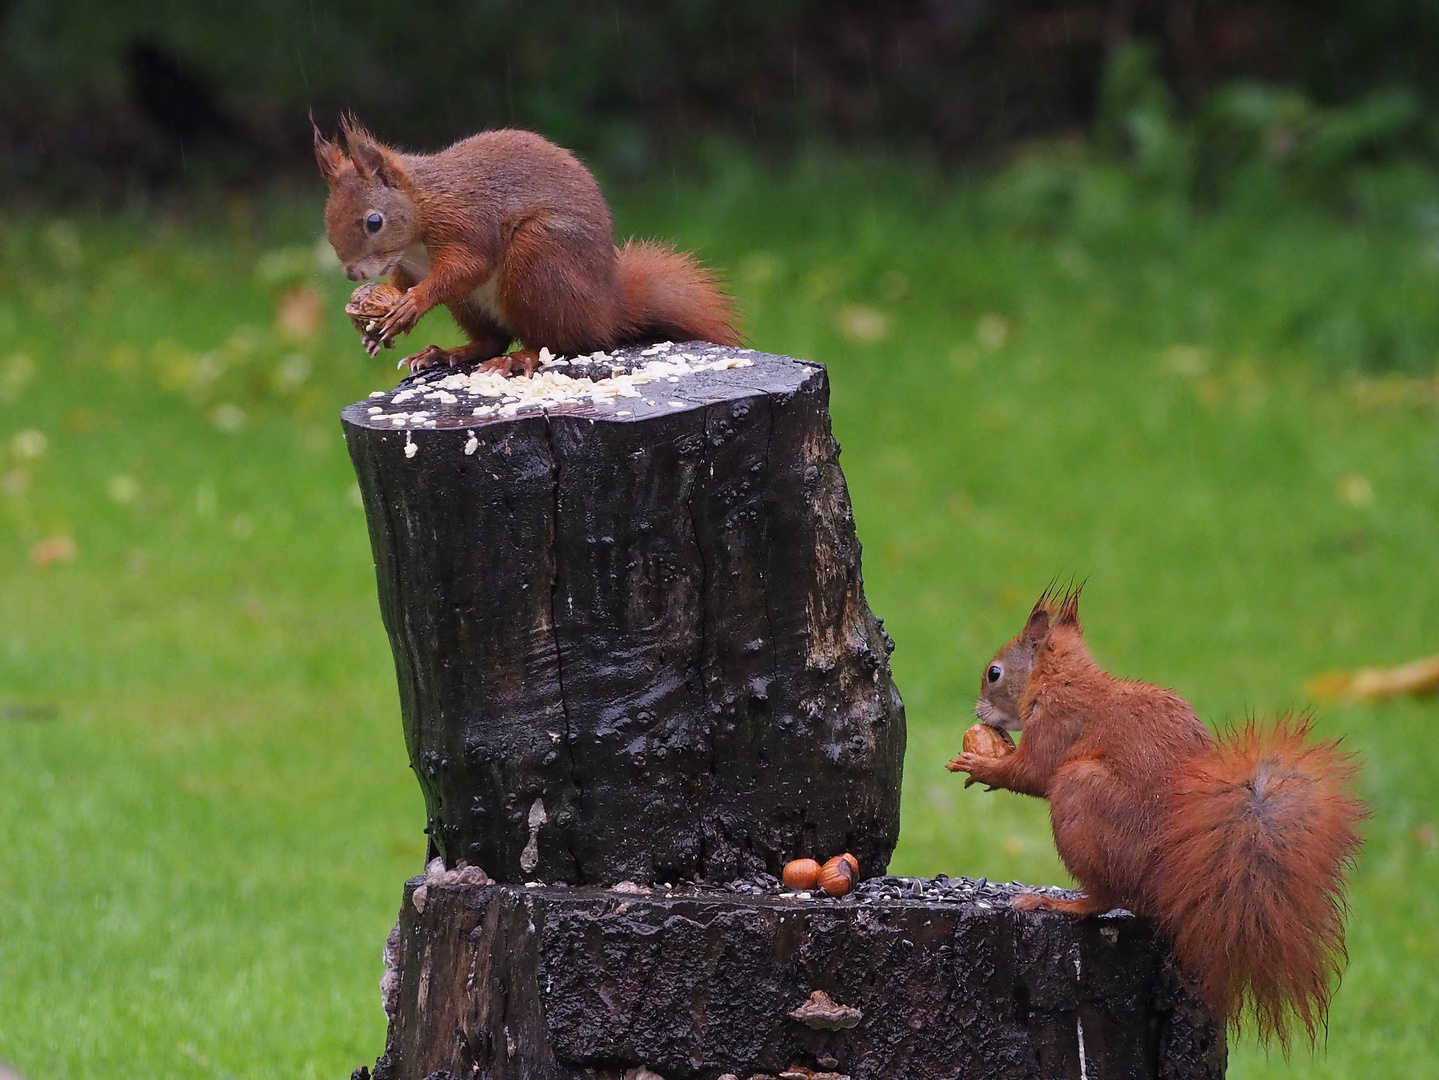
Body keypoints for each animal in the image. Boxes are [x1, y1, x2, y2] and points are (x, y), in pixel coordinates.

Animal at [316, 117, 742, 376]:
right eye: (327, 218)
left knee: (562, 343)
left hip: (539, 259)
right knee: (493, 339)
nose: (353, 273)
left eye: (374, 222)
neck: (423, 206)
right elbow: (401, 282)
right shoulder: (408, 265)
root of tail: (606, 312)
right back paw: (445, 353)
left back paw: (518, 358)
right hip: (473, 304)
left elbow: (467, 267)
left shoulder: (467, 224)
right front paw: (374, 330)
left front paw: (412, 305)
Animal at [949, 586, 1364, 1052]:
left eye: (994, 673)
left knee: (1107, 898)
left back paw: (1058, 903)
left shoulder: (1058, 719)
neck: (1061, 677)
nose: (979, 712)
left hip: (1081, 793)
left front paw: (981, 766)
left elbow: (1033, 772)